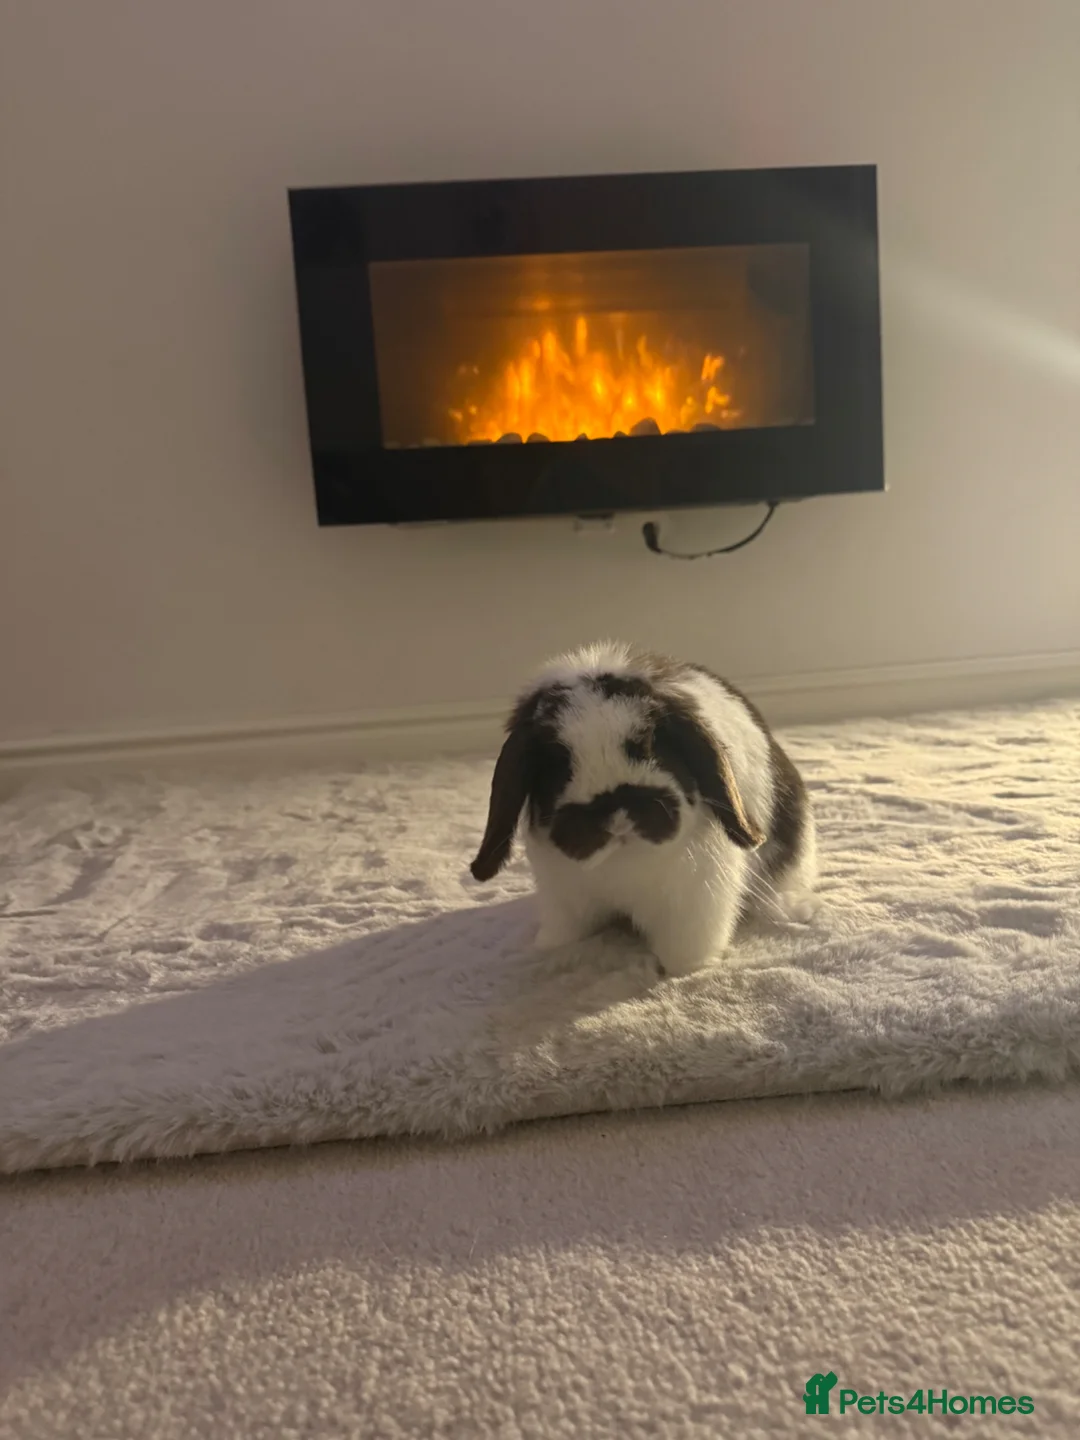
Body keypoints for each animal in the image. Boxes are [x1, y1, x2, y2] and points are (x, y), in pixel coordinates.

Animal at [469, 641, 817, 976]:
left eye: (650, 744)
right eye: (557, 761)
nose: (616, 813)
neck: (623, 859)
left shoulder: (694, 902)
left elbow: (684, 953)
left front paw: (685, 970)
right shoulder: (564, 899)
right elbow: (564, 936)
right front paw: (550, 952)